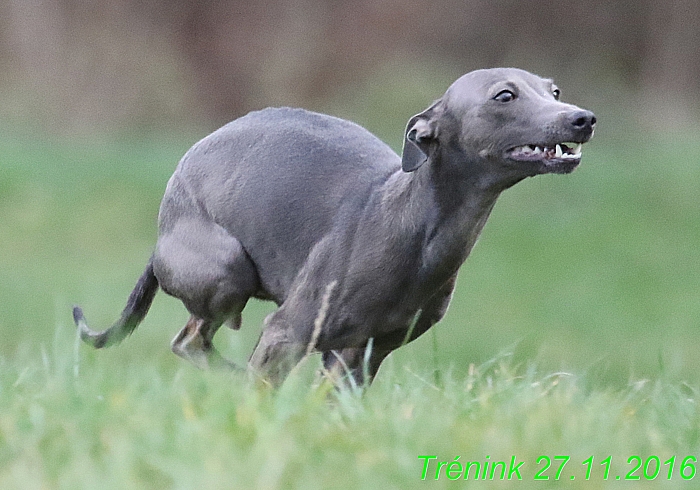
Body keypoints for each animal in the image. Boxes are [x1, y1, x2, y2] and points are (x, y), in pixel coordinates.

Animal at [72, 68, 596, 386]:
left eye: (553, 91)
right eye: (504, 95)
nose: (583, 118)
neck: (412, 225)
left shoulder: (358, 358)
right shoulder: (285, 336)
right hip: (225, 271)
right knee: (192, 341)